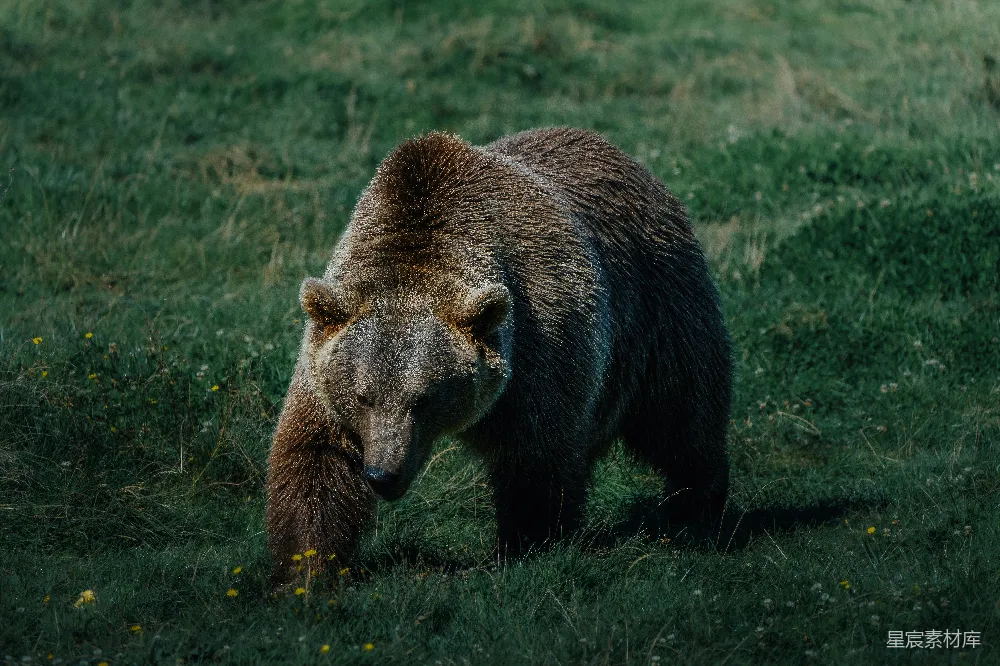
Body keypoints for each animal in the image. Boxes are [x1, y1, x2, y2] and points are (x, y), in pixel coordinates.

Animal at [265, 127, 732, 584]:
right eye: (363, 396)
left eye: (424, 398)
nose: (384, 475)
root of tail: (625, 157)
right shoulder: (324, 363)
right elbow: (315, 456)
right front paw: (307, 568)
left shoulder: (539, 341)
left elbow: (536, 457)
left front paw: (525, 548)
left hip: (659, 309)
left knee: (681, 414)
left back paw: (697, 507)